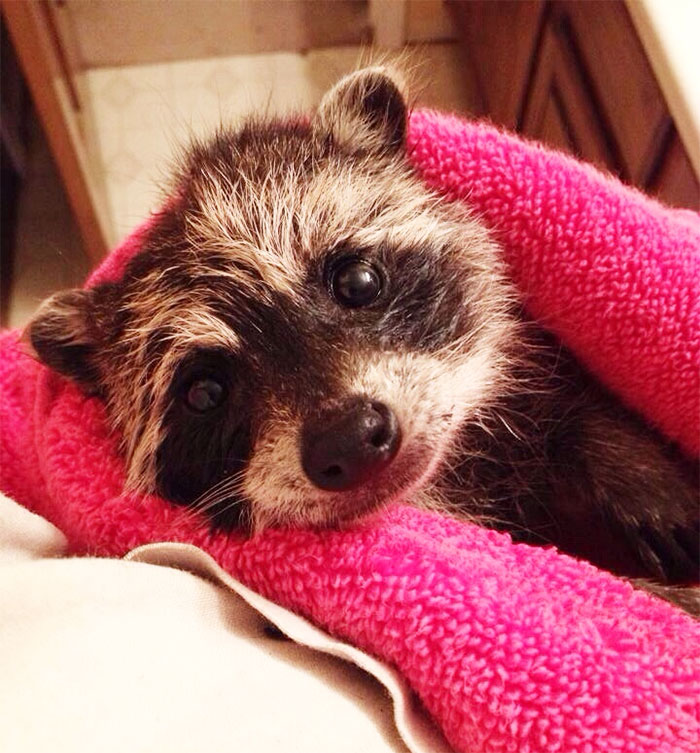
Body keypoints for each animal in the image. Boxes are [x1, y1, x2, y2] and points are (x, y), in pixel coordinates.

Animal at [27, 68, 698, 612]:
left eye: (358, 281)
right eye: (205, 393)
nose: (349, 439)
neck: (451, 478)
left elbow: (581, 410)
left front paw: (628, 462)